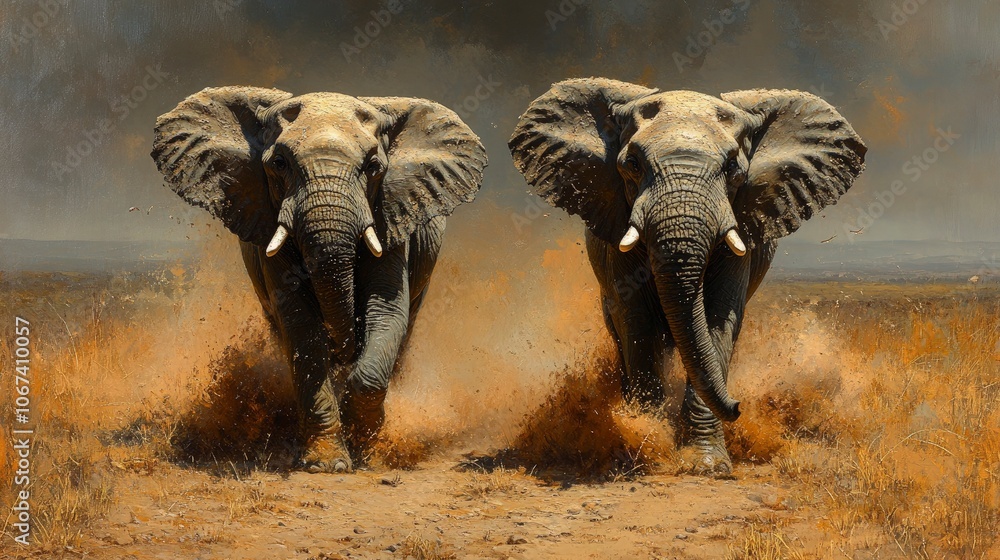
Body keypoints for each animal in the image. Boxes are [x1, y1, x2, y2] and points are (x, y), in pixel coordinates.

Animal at [152, 87, 487, 472]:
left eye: (373, 167)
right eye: (280, 164)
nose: (344, 347)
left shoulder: (392, 214)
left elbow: (385, 312)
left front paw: (366, 452)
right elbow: (300, 326)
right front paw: (327, 464)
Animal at [509, 78, 865, 474]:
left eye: (732, 167)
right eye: (632, 164)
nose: (739, 406)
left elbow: (717, 319)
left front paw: (705, 466)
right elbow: (637, 321)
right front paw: (645, 445)